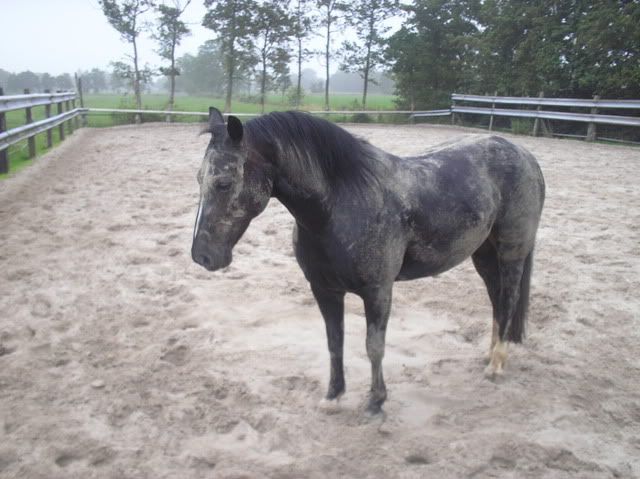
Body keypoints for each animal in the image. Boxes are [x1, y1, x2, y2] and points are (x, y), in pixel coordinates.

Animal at [191, 107, 545, 414]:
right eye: (199, 178)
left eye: (223, 182)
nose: (201, 256)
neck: (338, 205)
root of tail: (526, 156)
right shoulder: (324, 290)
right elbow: (334, 342)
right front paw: (333, 396)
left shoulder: (378, 291)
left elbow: (374, 345)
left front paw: (376, 401)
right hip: (483, 256)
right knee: (497, 301)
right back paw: (491, 355)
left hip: (511, 253)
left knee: (508, 299)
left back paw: (496, 365)